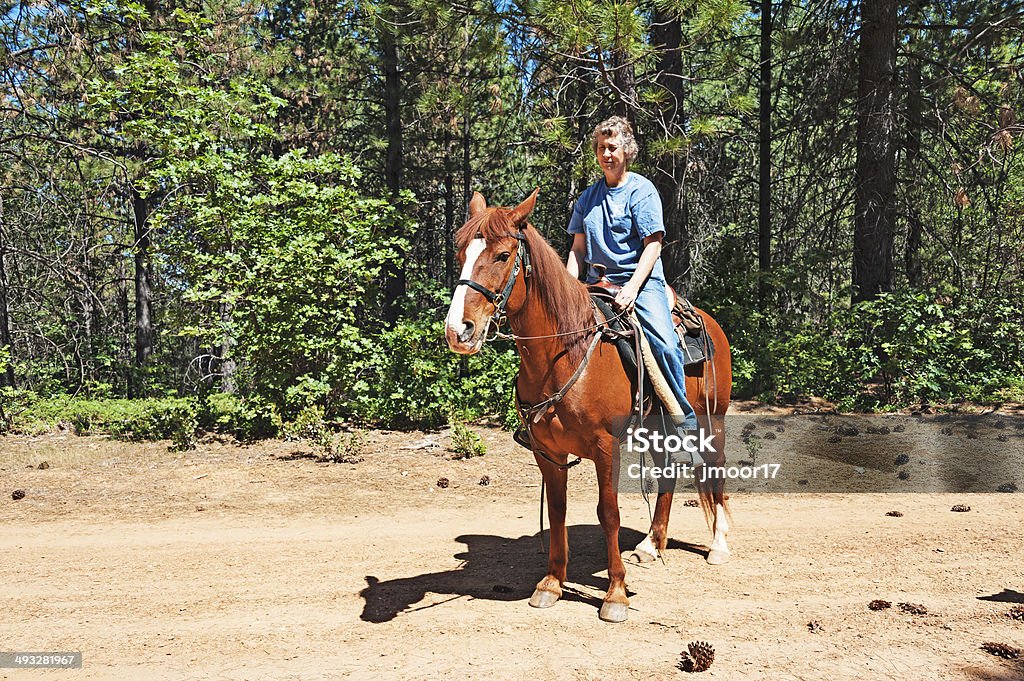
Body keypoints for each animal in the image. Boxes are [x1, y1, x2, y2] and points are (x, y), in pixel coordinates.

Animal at [444, 187, 733, 622]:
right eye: (461, 252)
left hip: (711, 419)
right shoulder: (547, 451)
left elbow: (608, 513)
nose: (458, 330)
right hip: (657, 427)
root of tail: (709, 322)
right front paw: (551, 583)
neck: (563, 353)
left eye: (502, 255)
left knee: (714, 472)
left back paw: (718, 545)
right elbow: (558, 512)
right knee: (667, 474)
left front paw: (615, 594)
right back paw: (651, 545)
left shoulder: (604, 447)